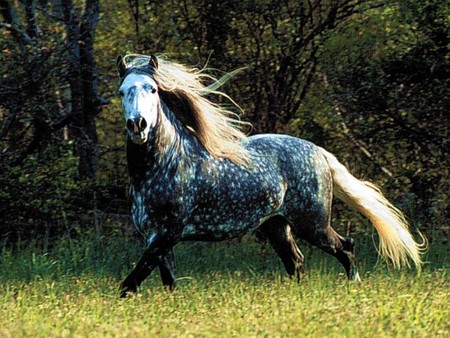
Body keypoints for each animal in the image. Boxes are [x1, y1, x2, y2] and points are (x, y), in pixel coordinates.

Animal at [116, 54, 426, 298]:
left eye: (153, 89)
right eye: (121, 91)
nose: (137, 125)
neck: (164, 166)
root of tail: (319, 152)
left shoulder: (167, 234)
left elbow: (129, 284)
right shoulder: (156, 238)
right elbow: (167, 282)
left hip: (312, 224)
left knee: (344, 247)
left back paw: (355, 287)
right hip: (277, 225)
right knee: (296, 262)